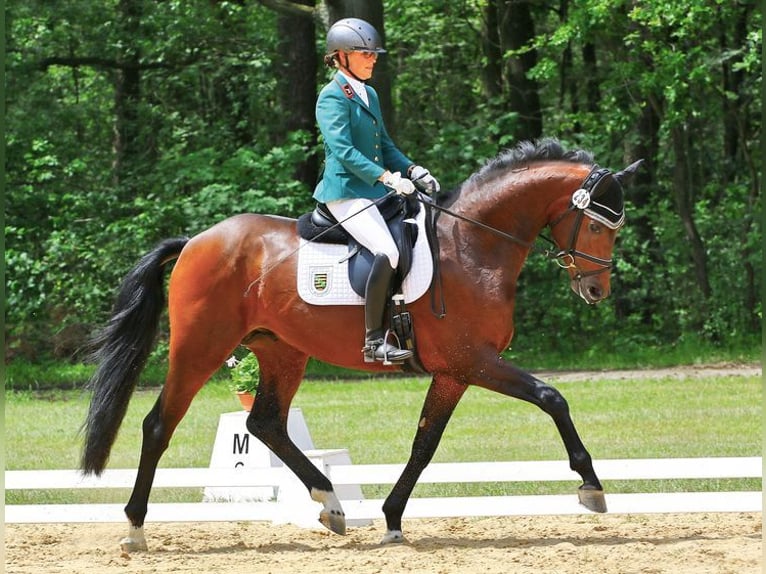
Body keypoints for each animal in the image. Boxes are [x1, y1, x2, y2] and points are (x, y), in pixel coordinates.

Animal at [79, 137, 640, 552]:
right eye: (595, 225)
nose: (596, 290)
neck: (471, 246)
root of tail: (196, 240)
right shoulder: (476, 360)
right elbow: (552, 397)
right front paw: (591, 487)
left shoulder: (454, 371)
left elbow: (424, 444)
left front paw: (392, 519)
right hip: (201, 348)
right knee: (159, 425)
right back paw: (135, 530)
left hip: (282, 350)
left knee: (265, 422)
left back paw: (330, 504)